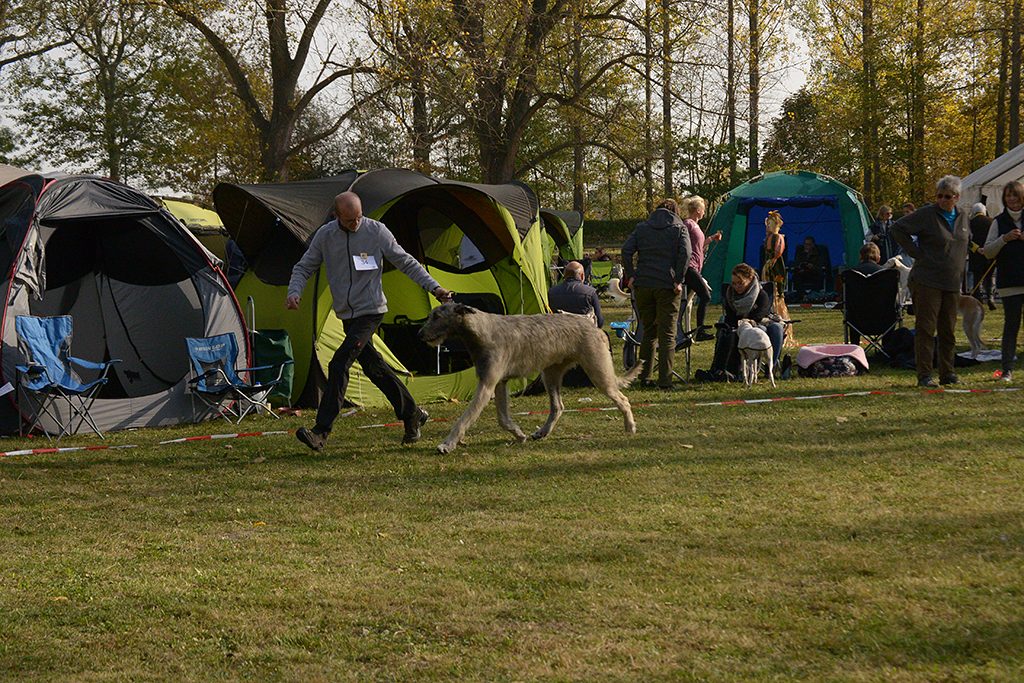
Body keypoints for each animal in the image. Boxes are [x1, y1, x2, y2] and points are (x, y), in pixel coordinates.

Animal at [415, 305, 638, 454]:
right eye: (430, 315)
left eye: (437, 316)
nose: (420, 334)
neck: (481, 330)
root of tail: (592, 324)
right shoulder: (499, 383)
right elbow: (503, 418)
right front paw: (518, 434)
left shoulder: (487, 384)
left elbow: (464, 419)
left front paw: (447, 444)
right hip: (551, 374)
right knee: (558, 406)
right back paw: (542, 432)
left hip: (597, 371)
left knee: (623, 399)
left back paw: (630, 426)